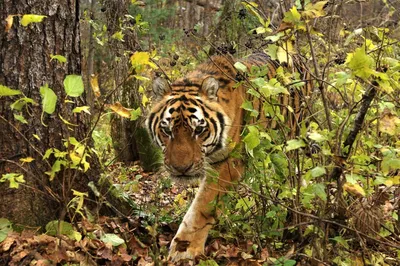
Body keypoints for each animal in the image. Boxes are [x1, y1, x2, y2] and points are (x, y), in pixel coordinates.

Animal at [145, 52, 310, 262]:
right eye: (167, 130)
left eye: (198, 130)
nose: (181, 169)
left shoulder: (229, 163)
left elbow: (203, 206)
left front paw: (184, 248)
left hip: (294, 135)